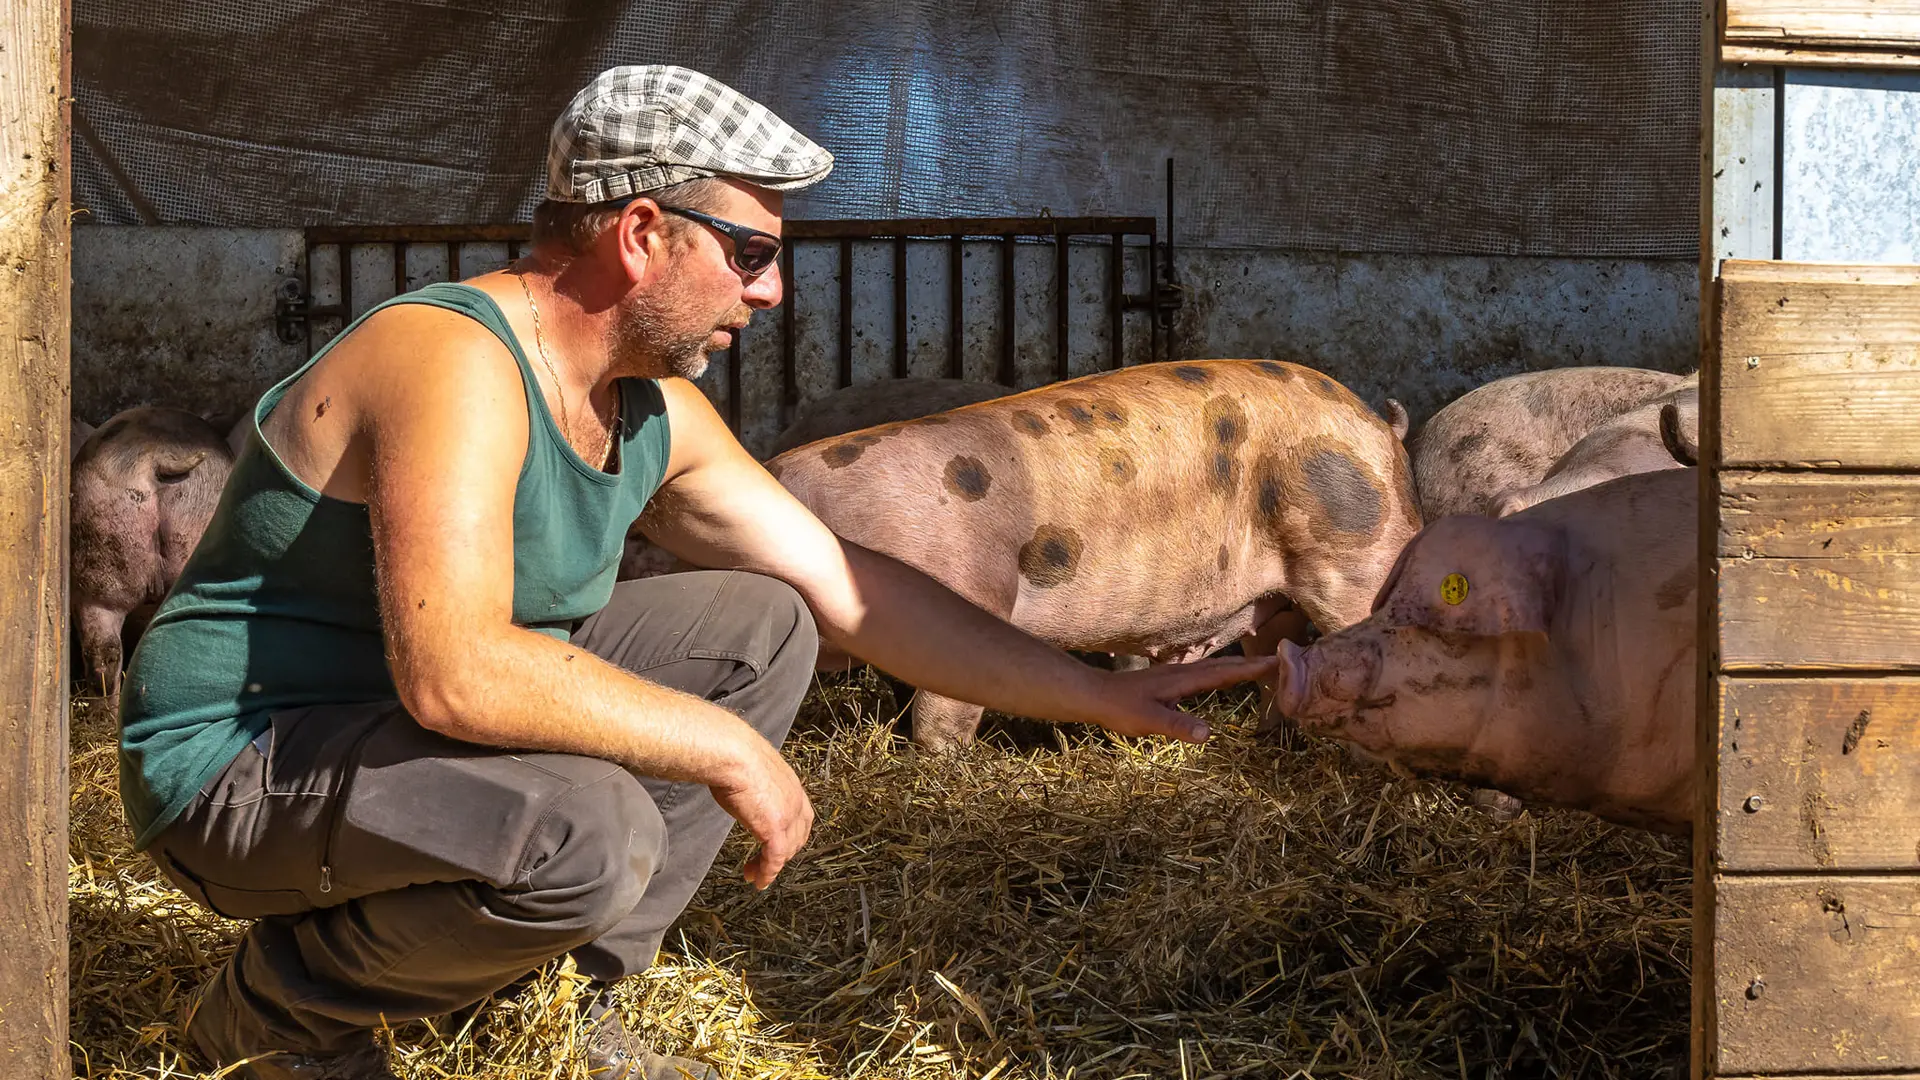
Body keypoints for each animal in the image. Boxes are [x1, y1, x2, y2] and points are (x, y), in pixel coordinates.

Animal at [679, 357, 1428, 745]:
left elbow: (943, 712)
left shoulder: (973, 595)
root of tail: (1378, 425)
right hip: (1278, 599)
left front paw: (939, 768)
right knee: (1278, 659)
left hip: (1358, 550)